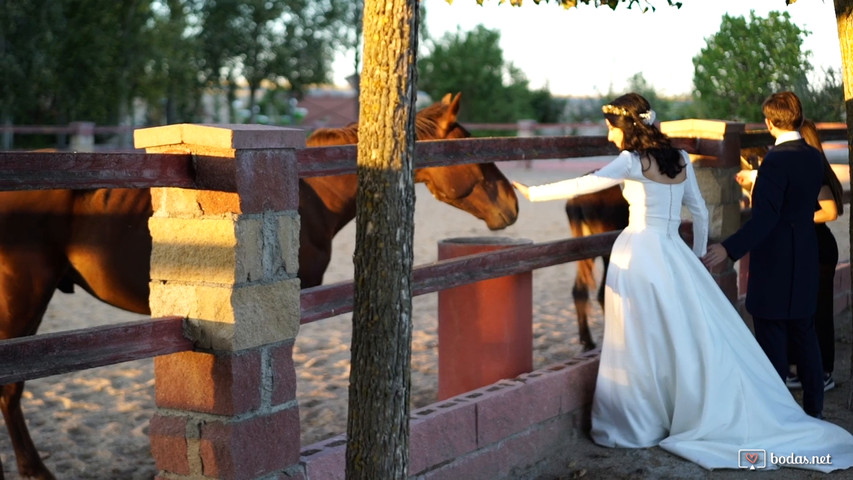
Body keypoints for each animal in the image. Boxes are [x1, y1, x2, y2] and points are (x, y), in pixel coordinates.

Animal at [0, 92, 512, 478]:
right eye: (470, 148)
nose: (511, 205)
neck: (312, 191)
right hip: (22, 300)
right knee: (11, 390)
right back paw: (35, 471)